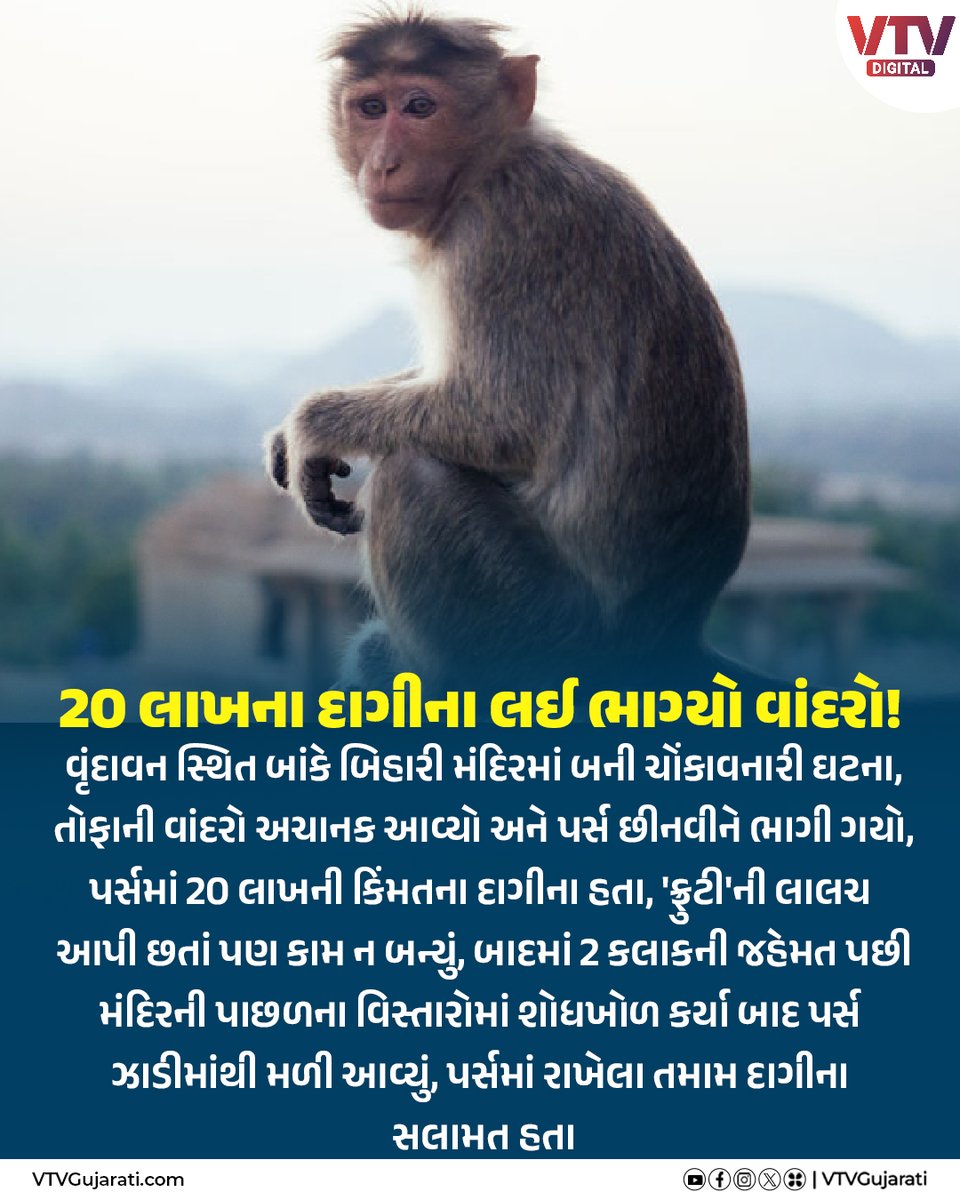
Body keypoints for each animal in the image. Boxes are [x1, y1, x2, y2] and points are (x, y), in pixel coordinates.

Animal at [267, 7, 750, 689]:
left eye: (420, 106)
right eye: (371, 107)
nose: (383, 163)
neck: (489, 166)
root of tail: (669, 639)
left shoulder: (502, 237)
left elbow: (504, 417)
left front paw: (311, 426)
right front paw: (291, 439)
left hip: (547, 633)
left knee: (413, 477)